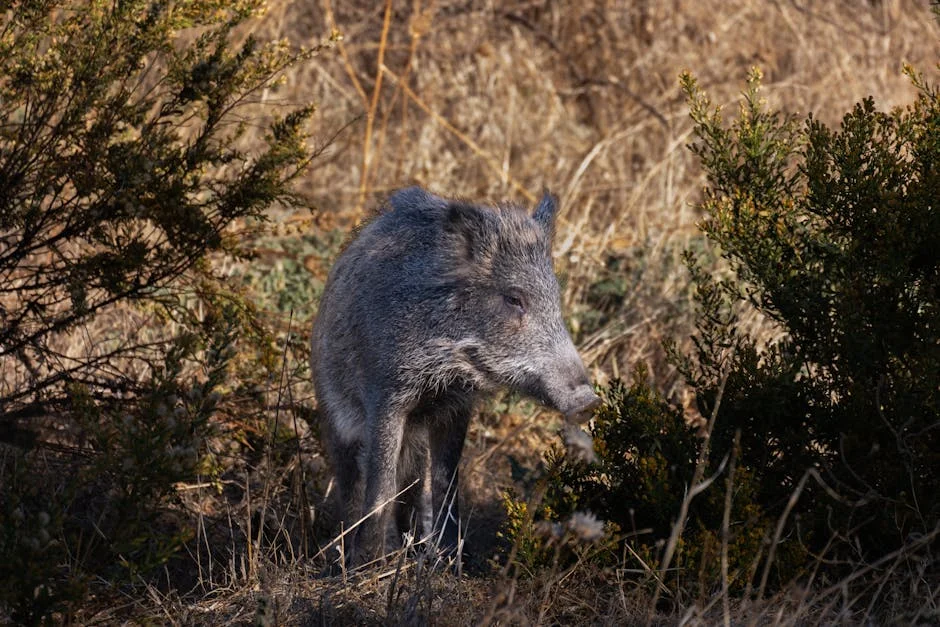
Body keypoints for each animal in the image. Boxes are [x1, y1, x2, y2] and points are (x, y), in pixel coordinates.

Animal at [311, 187, 600, 565]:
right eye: (514, 298)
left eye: (555, 300)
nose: (589, 401)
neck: (446, 364)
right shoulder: (386, 393)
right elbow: (381, 483)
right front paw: (369, 563)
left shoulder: (456, 406)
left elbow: (446, 482)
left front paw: (449, 562)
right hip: (336, 420)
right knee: (352, 484)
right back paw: (348, 556)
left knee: (412, 486)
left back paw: (414, 548)